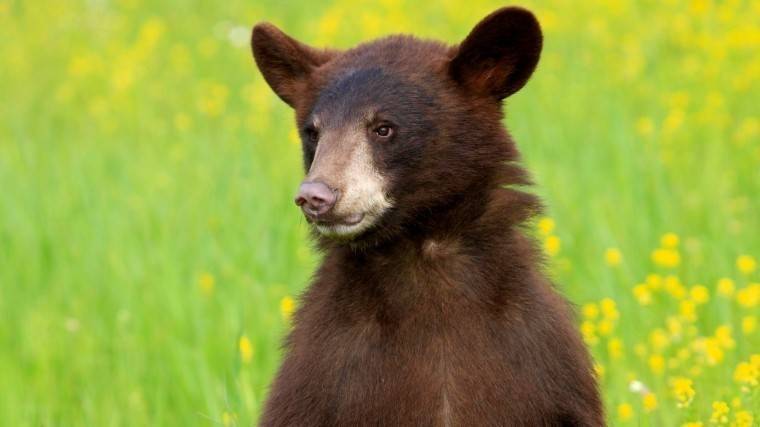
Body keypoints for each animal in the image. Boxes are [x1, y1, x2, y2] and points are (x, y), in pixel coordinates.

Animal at [251, 6, 604, 427]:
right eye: (313, 133)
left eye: (383, 128)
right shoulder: (322, 377)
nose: (314, 196)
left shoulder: (542, 366)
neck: (425, 264)